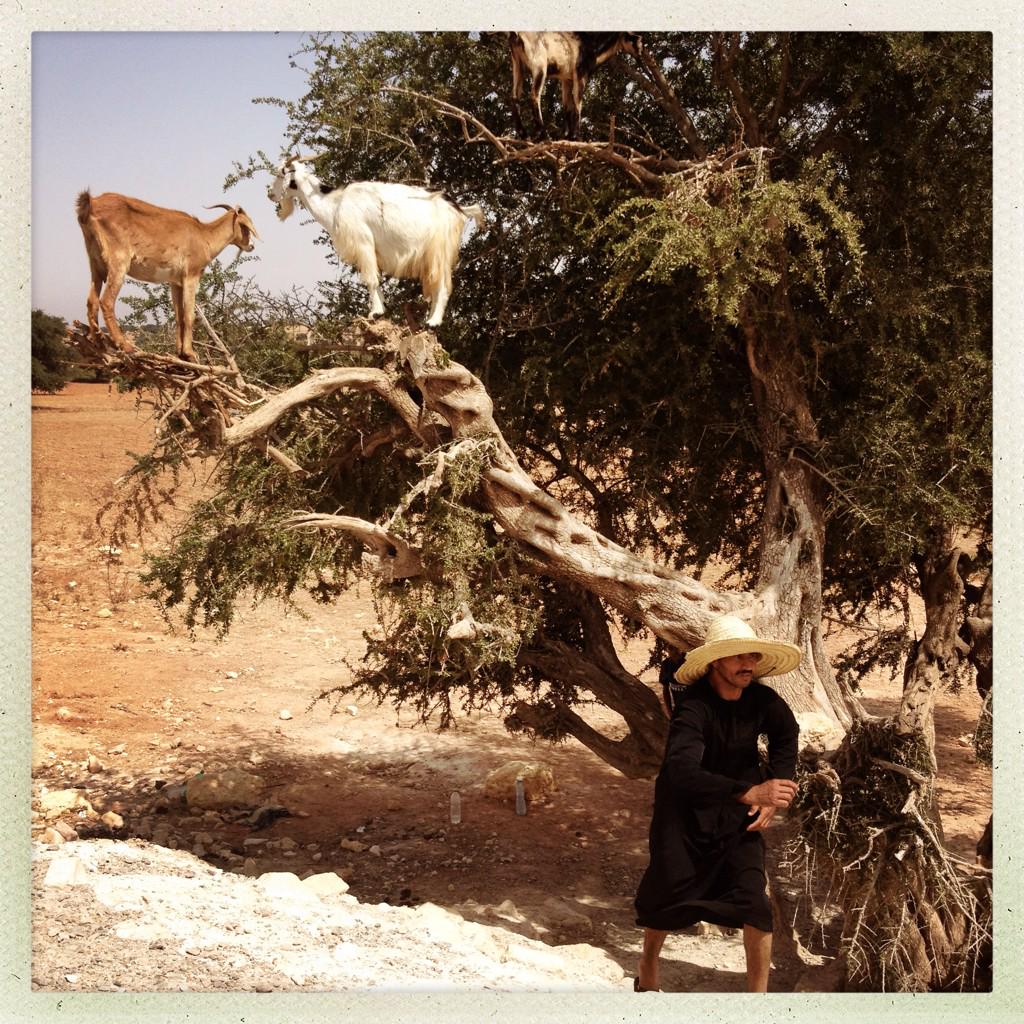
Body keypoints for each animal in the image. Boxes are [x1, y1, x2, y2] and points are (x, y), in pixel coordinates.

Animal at [76, 191, 260, 361]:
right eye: (245, 226)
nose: (251, 246)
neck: (204, 236)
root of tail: (91, 203)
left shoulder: (175, 282)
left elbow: (179, 316)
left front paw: (180, 353)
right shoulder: (191, 276)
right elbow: (189, 315)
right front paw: (190, 353)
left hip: (96, 265)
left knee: (92, 301)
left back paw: (99, 342)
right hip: (118, 264)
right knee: (106, 301)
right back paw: (125, 346)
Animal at [267, 156, 484, 328]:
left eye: (279, 173)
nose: (269, 193)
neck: (335, 204)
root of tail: (457, 208)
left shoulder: (363, 242)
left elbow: (371, 279)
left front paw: (375, 313)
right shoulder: (373, 250)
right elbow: (376, 279)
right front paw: (381, 311)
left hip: (439, 250)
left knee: (443, 284)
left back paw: (433, 323)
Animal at [508, 31, 643, 141]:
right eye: (633, 38)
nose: (640, 55)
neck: (591, 44)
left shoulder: (566, 79)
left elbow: (567, 106)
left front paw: (567, 136)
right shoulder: (580, 74)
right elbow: (578, 102)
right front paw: (576, 136)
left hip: (517, 65)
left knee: (514, 97)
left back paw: (524, 135)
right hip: (540, 66)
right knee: (534, 96)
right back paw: (543, 135)